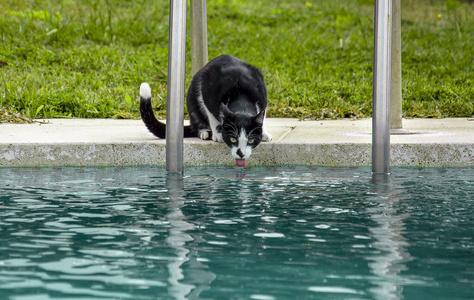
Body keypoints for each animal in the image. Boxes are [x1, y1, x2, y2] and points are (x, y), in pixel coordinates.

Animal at [139, 54, 272, 166]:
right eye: (233, 139)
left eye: (251, 141)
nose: (241, 154)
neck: (241, 96)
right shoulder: (206, 90)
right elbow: (212, 115)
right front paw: (218, 134)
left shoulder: (262, 95)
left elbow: (263, 115)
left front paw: (263, 132)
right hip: (192, 99)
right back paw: (205, 132)